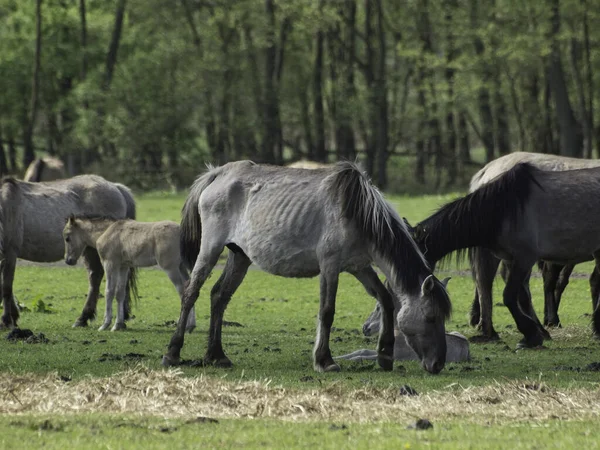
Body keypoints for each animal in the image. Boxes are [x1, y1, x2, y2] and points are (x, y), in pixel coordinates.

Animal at [0, 175, 136, 326]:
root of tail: (115, 187)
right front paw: (14, 315)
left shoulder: (10, 253)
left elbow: (6, 287)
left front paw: (7, 319)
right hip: (89, 249)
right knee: (96, 276)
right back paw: (88, 318)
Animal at [62, 216, 197, 332]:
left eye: (67, 238)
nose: (68, 260)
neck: (106, 231)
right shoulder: (124, 267)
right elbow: (120, 293)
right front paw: (117, 325)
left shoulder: (110, 264)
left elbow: (109, 292)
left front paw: (105, 324)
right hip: (182, 267)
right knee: (190, 287)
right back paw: (191, 326)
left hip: (171, 268)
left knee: (183, 291)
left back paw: (184, 326)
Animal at [162, 160, 452, 374]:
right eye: (431, 317)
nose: (438, 364)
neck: (358, 211)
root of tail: (217, 173)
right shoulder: (330, 266)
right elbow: (327, 311)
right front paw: (325, 361)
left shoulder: (360, 267)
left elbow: (385, 299)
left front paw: (385, 356)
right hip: (210, 248)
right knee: (191, 293)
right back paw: (172, 352)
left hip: (240, 256)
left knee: (219, 296)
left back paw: (216, 355)